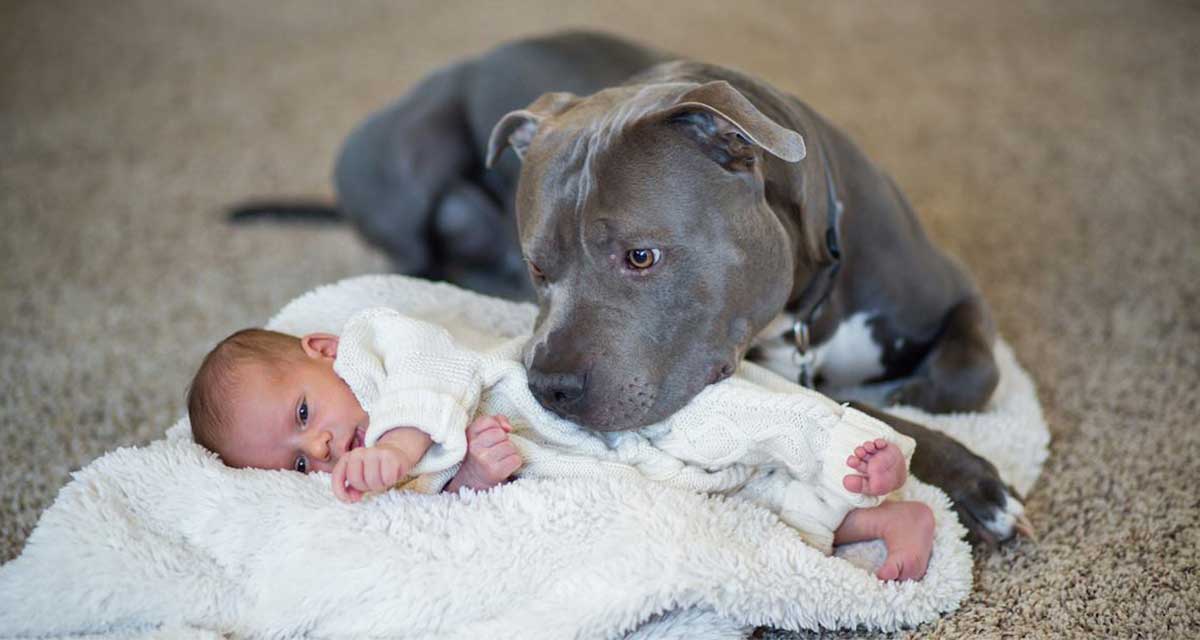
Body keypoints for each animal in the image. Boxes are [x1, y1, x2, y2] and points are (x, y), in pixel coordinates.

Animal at [231, 31, 1032, 545]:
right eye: (539, 268)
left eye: (641, 256)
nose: (548, 387)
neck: (810, 302)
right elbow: (870, 417)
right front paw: (970, 477)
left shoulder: (955, 291)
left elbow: (973, 373)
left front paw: (920, 401)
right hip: (402, 160)